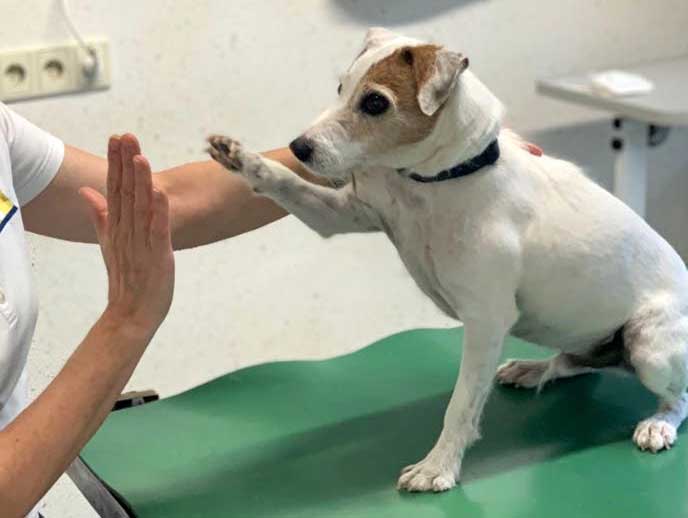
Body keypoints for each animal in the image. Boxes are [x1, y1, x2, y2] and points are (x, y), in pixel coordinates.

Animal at [208, 28, 688, 496]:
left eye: (375, 102)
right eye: (341, 88)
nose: (299, 147)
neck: (436, 182)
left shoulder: (485, 322)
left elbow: (460, 406)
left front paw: (438, 467)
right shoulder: (346, 215)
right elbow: (286, 184)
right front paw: (243, 158)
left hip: (648, 344)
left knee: (679, 398)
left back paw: (658, 423)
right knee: (574, 362)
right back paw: (535, 368)